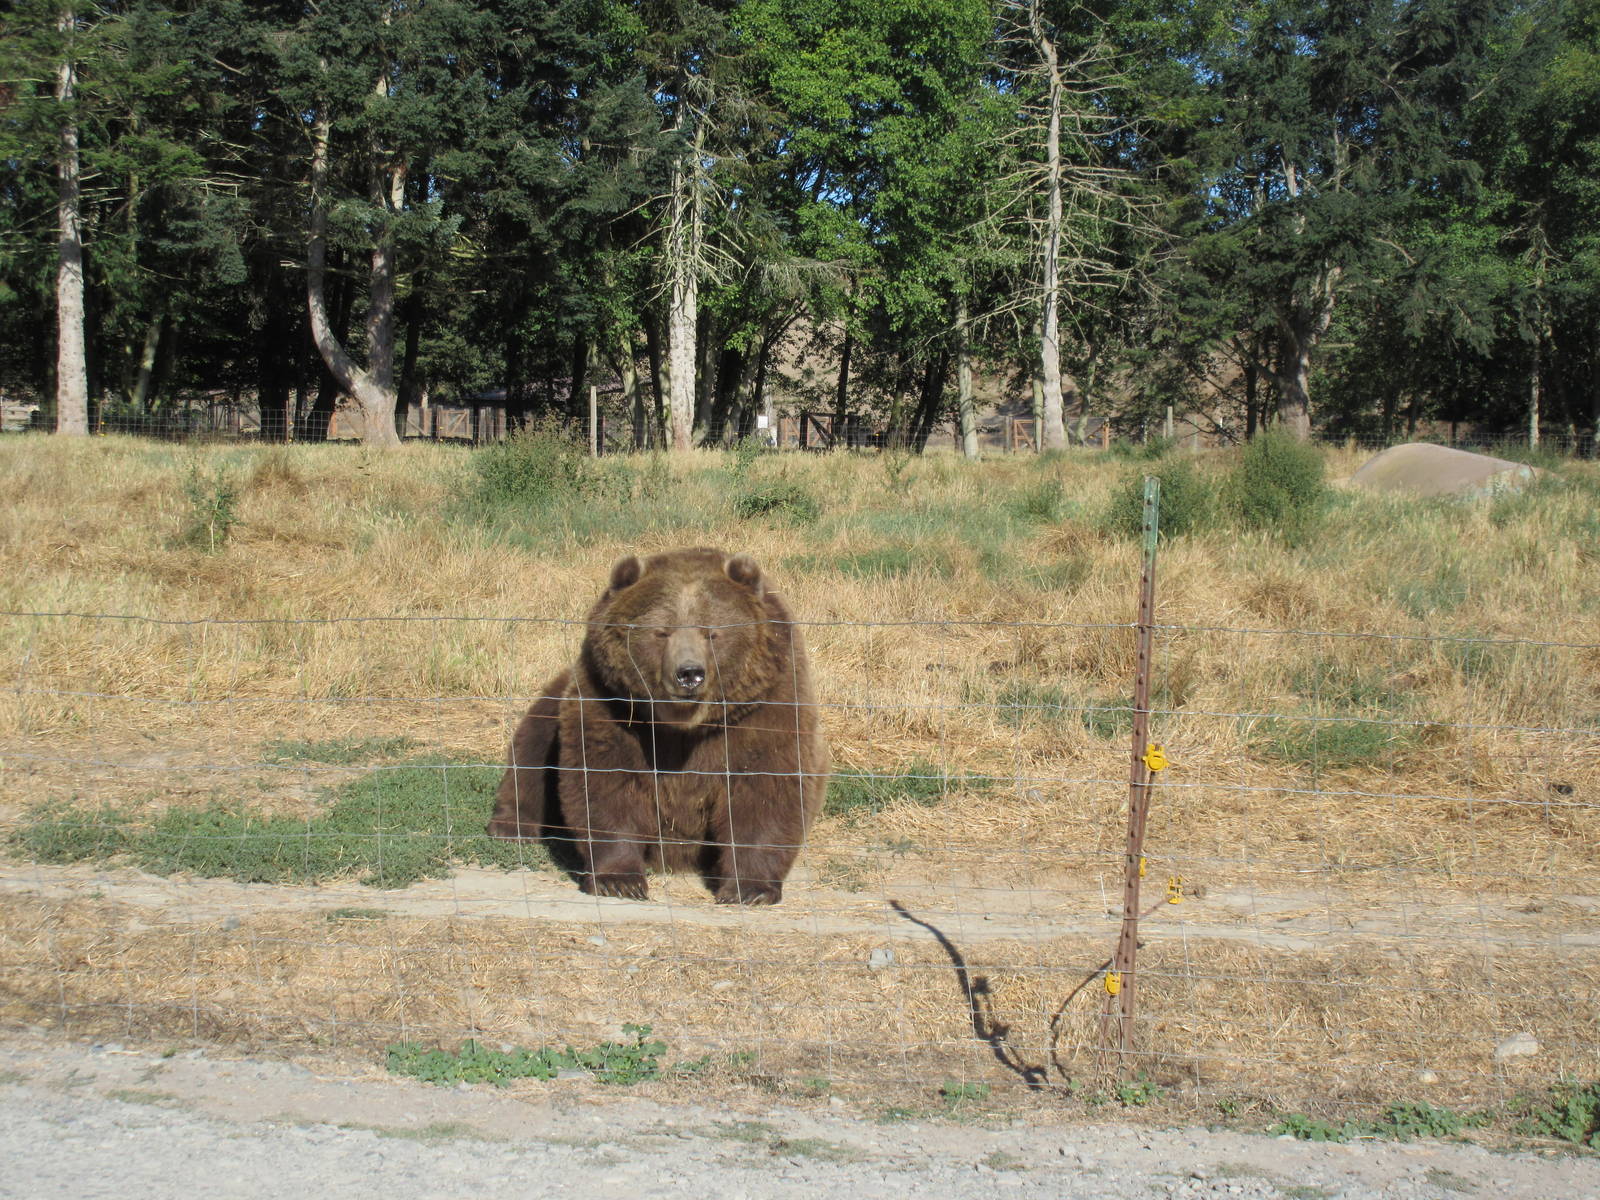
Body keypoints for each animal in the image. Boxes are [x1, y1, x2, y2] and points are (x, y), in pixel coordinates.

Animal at [487, 547, 829, 905]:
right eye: (662, 632)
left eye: (712, 632)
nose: (689, 673)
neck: (684, 724)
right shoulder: (613, 703)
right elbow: (607, 780)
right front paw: (619, 880)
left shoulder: (766, 706)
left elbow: (764, 786)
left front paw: (750, 889)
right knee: (532, 749)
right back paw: (512, 827)